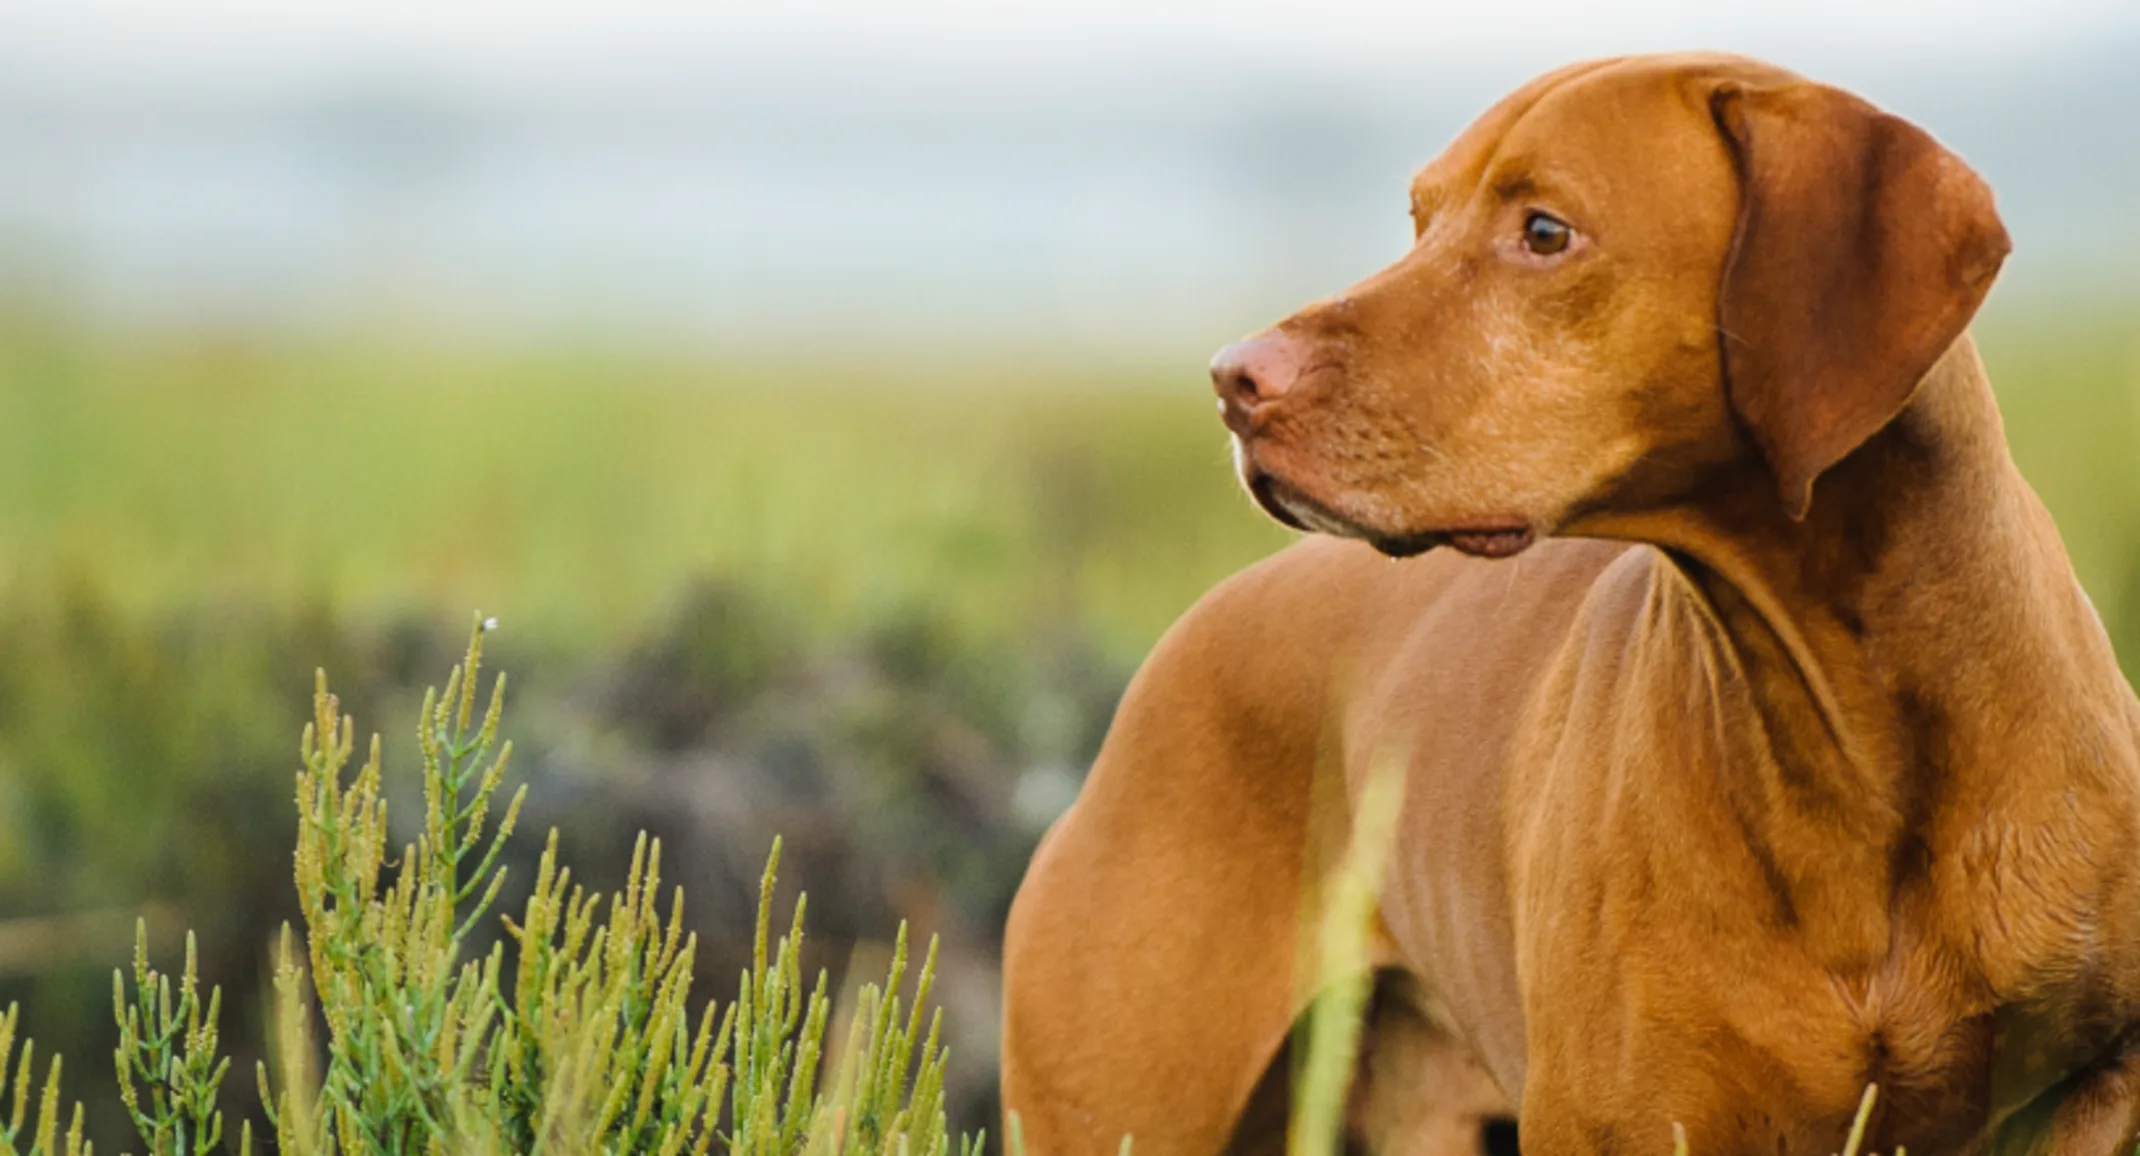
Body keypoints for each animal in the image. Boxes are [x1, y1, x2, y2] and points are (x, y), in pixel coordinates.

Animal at [992, 49, 2140, 1147]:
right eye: (1420, 219)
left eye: (1544, 231)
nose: (1234, 380)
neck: (1853, 742)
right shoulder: (1619, 1119)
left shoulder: (2095, 1087)